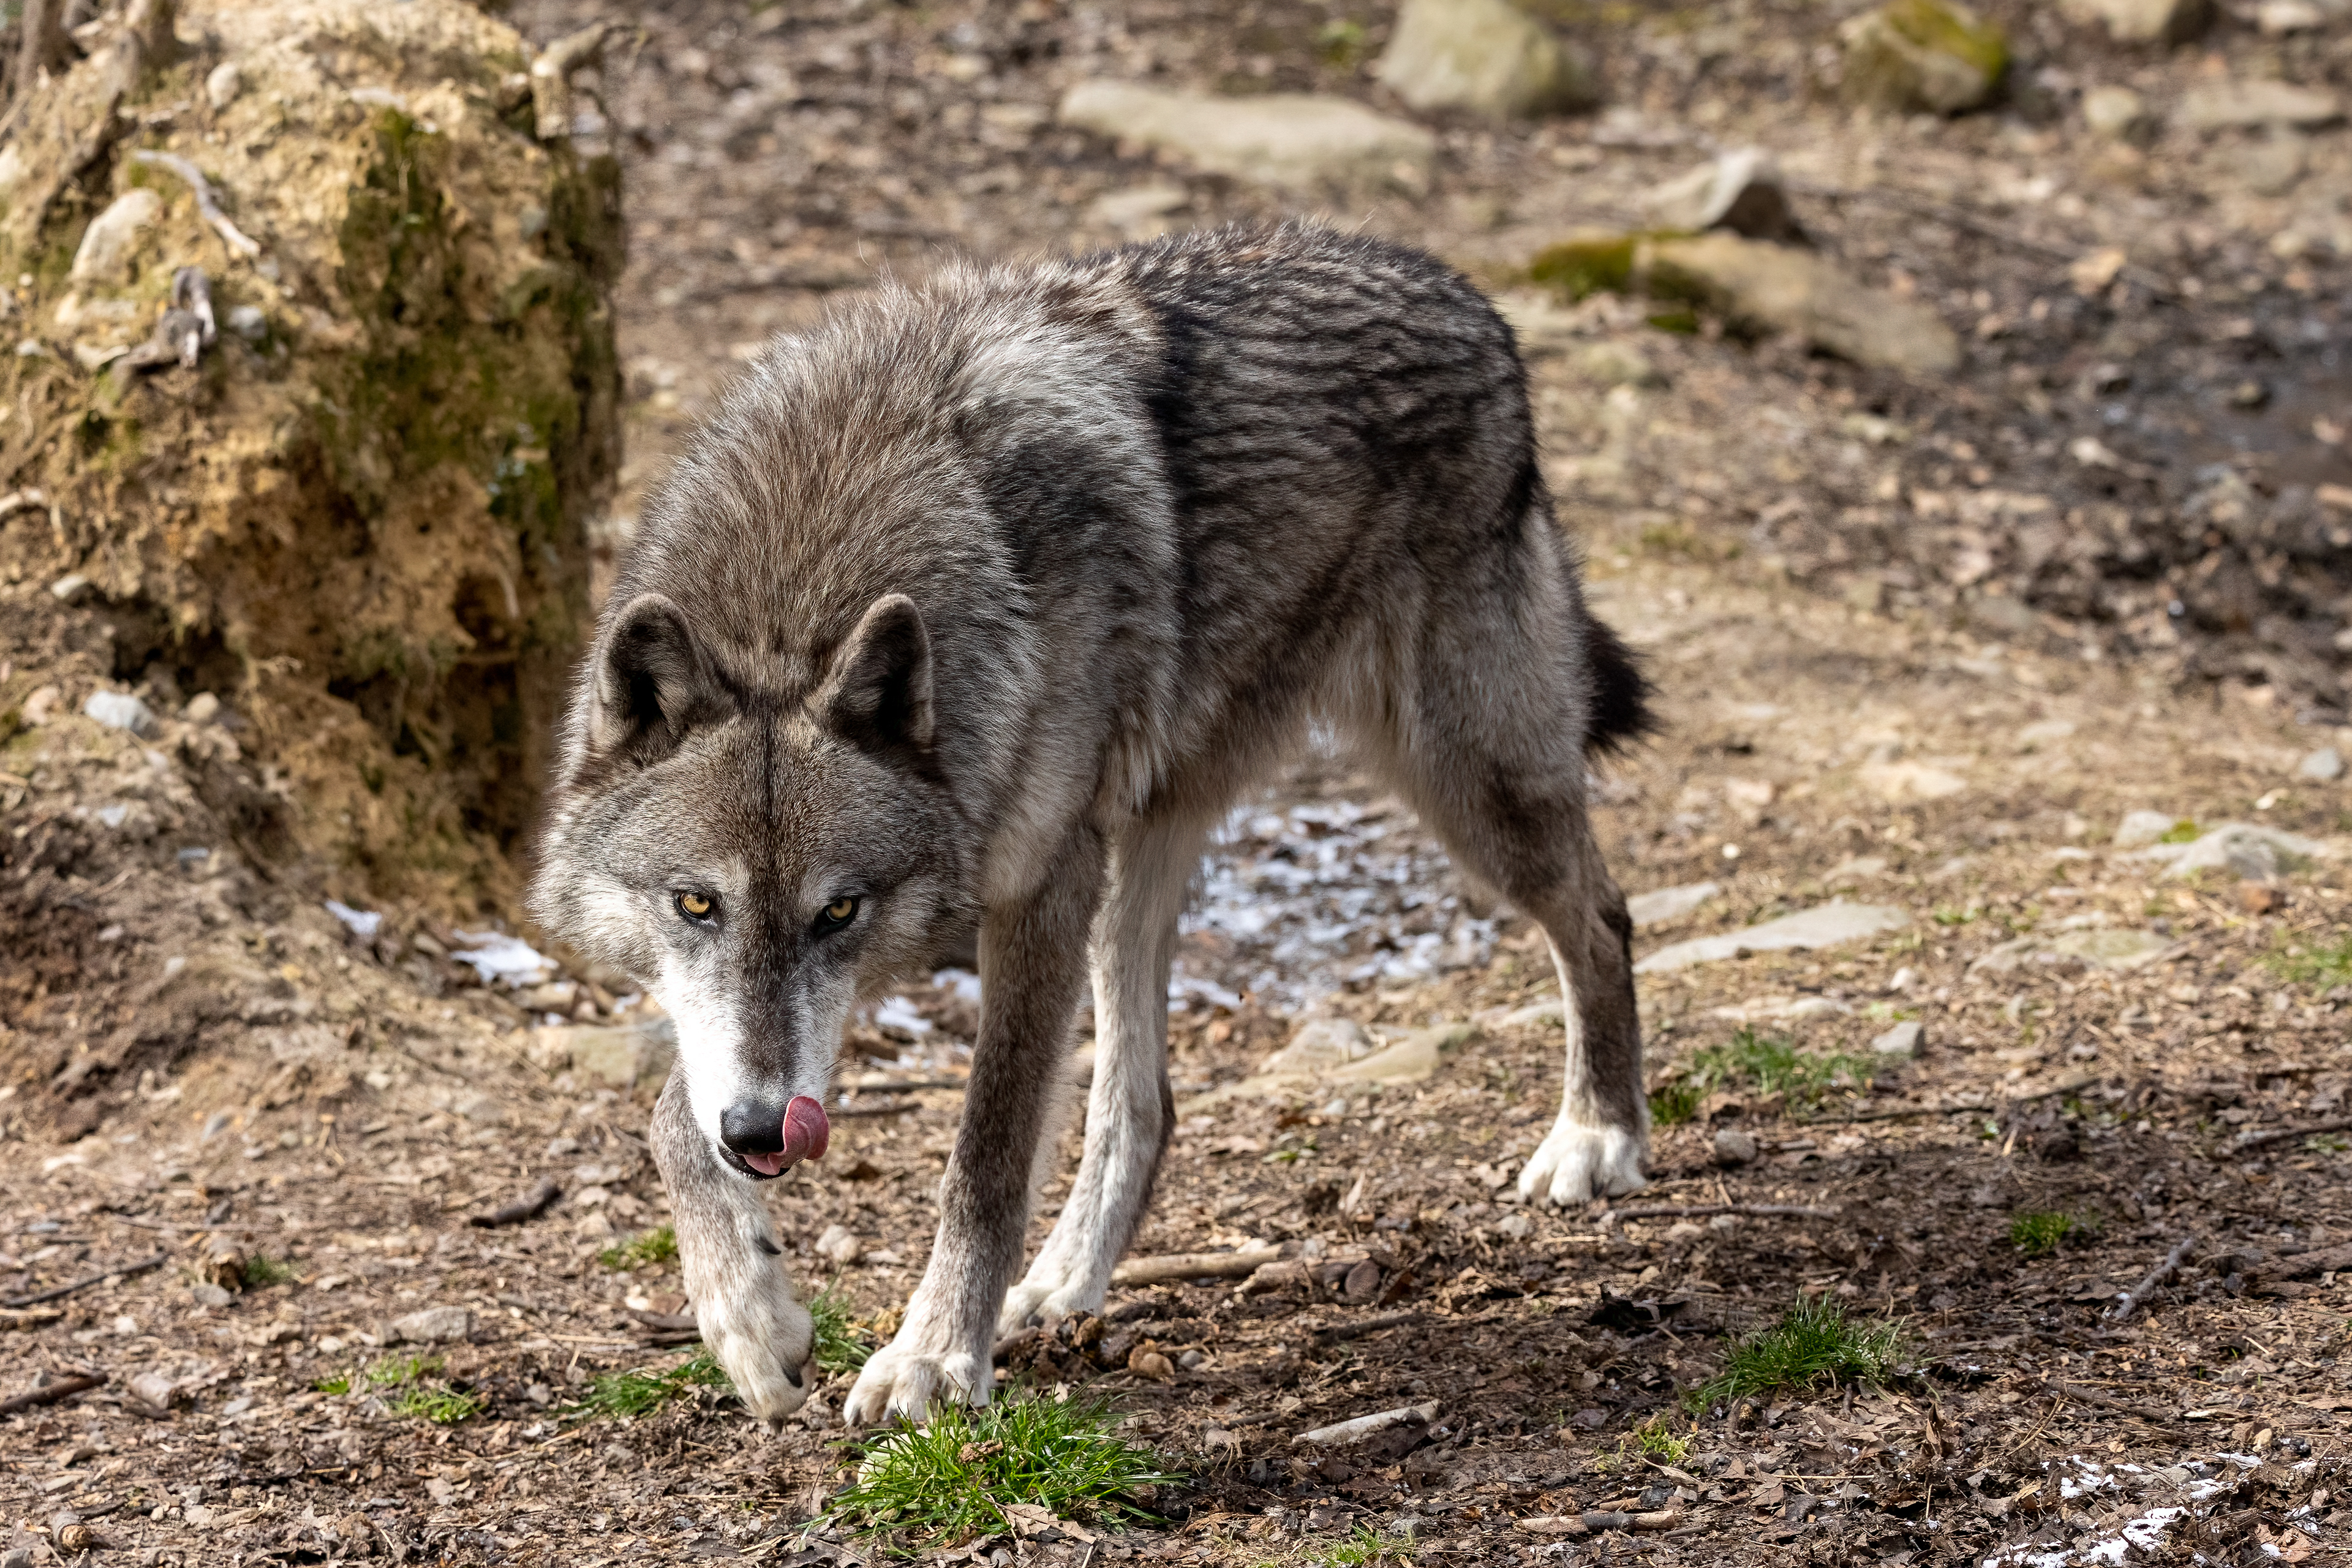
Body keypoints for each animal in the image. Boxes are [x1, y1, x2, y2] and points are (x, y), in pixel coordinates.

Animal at [530, 222, 1652, 1426]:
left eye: (839, 912)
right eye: (697, 903)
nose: (758, 1132)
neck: (801, 582)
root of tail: (1465, 293)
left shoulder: (1036, 891)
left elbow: (983, 1155)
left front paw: (934, 1358)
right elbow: (668, 1118)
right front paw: (750, 1322)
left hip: (1463, 782)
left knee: (1602, 917)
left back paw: (1599, 1137)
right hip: (1141, 854)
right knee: (1147, 1103)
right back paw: (1063, 1285)